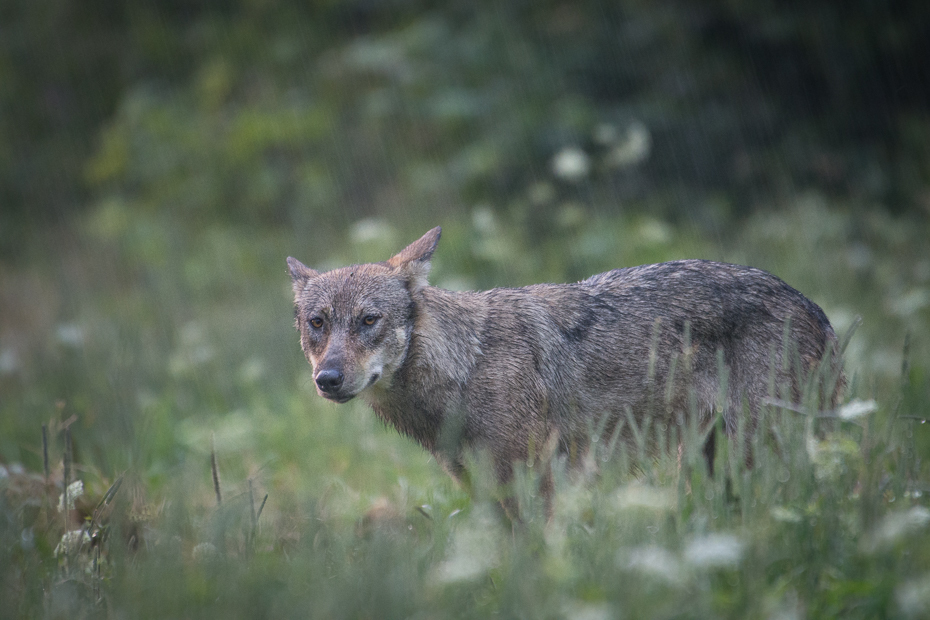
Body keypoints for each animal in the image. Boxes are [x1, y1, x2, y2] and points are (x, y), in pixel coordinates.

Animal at [284, 228, 840, 504]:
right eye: (317, 323)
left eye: (368, 320)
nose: (327, 379)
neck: (466, 365)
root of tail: (815, 308)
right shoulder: (486, 491)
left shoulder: (537, 483)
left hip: (757, 452)